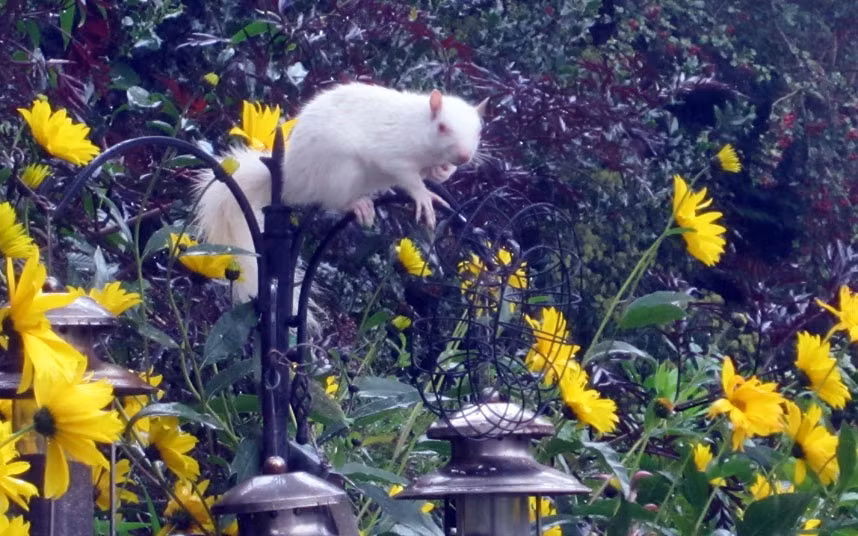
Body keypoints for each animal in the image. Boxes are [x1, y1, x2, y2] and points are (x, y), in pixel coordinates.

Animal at [193, 82, 487, 326]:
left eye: (478, 131)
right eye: (442, 128)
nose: (464, 156)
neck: (418, 126)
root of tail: (292, 178)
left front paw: (443, 172)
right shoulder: (393, 153)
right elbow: (408, 177)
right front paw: (424, 196)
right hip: (342, 173)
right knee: (334, 200)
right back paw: (358, 205)